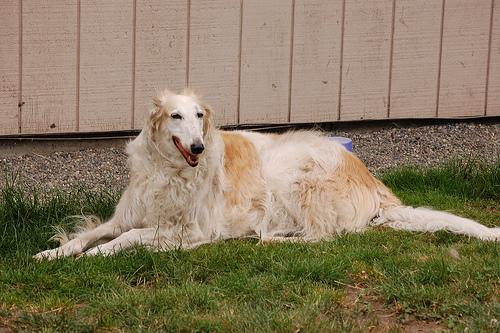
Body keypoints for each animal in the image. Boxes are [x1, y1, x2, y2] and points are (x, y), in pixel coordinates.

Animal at [35, 90, 500, 260]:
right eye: (176, 116)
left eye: (200, 116)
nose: (199, 147)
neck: (170, 172)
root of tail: (373, 181)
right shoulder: (127, 214)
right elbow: (91, 232)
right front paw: (52, 254)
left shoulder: (190, 231)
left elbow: (125, 239)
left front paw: (94, 257)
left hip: (295, 178)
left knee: (322, 237)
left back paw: (271, 239)